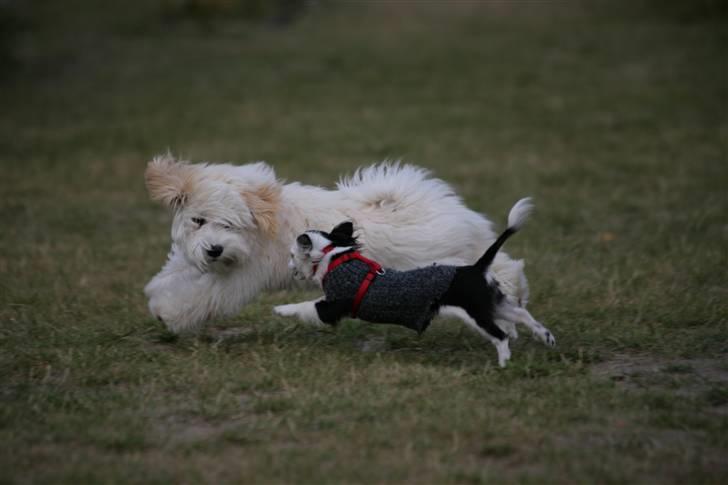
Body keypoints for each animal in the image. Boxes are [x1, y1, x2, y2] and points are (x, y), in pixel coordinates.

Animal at [144, 155, 528, 332]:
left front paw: (168, 312)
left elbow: (201, 294)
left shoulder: (239, 276)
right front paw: (159, 293)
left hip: (441, 259)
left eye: (230, 224)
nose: (215, 249)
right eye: (198, 220)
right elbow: (176, 275)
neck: (264, 220)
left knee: (505, 267)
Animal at [274, 199, 556, 364]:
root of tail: (475, 268)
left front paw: (279, 309)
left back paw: (504, 361)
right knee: (522, 315)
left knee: (501, 335)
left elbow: (305, 306)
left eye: (291, 255)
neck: (334, 257)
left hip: (476, 312)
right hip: (492, 302)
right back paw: (546, 337)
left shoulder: (332, 306)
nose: (288, 266)